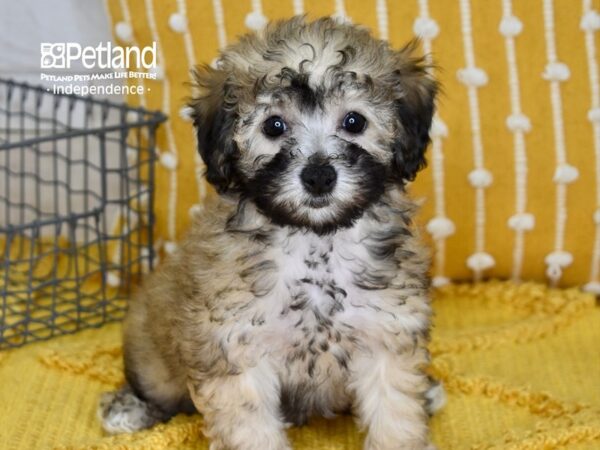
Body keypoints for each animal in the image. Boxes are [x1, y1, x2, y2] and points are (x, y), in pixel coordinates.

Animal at [99, 16, 446, 450]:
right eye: (274, 126)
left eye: (355, 122)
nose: (319, 176)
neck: (316, 242)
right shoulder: (235, 348)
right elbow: (250, 426)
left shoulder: (386, 333)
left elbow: (395, 414)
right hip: (152, 358)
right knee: (157, 390)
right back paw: (130, 409)